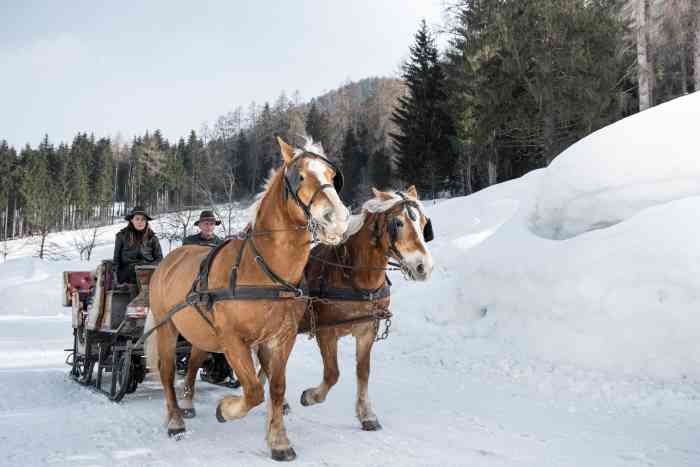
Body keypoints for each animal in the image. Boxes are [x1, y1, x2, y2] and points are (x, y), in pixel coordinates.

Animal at [146, 137, 348, 462]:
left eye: (332, 175)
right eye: (300, 176)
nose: (338, 220)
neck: (264, 271)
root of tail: (169, 260)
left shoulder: (280, 338)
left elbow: (275, 388)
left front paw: (279, 442)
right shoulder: (232, 340)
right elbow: (253, 390)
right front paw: (226, 409)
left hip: (202, 333)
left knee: (192, 364)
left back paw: (187, 404)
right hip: (168, 327)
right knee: (167, 372)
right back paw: (175, 420)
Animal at [300, 186, 432, 432]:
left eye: (424, 222)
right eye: (398, 223)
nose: (424, 267)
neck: (356, 279)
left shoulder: (367, 330)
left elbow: (363, 371)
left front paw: (366, 414)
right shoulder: (326, 332)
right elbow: (332, 373)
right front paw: (311, 396)